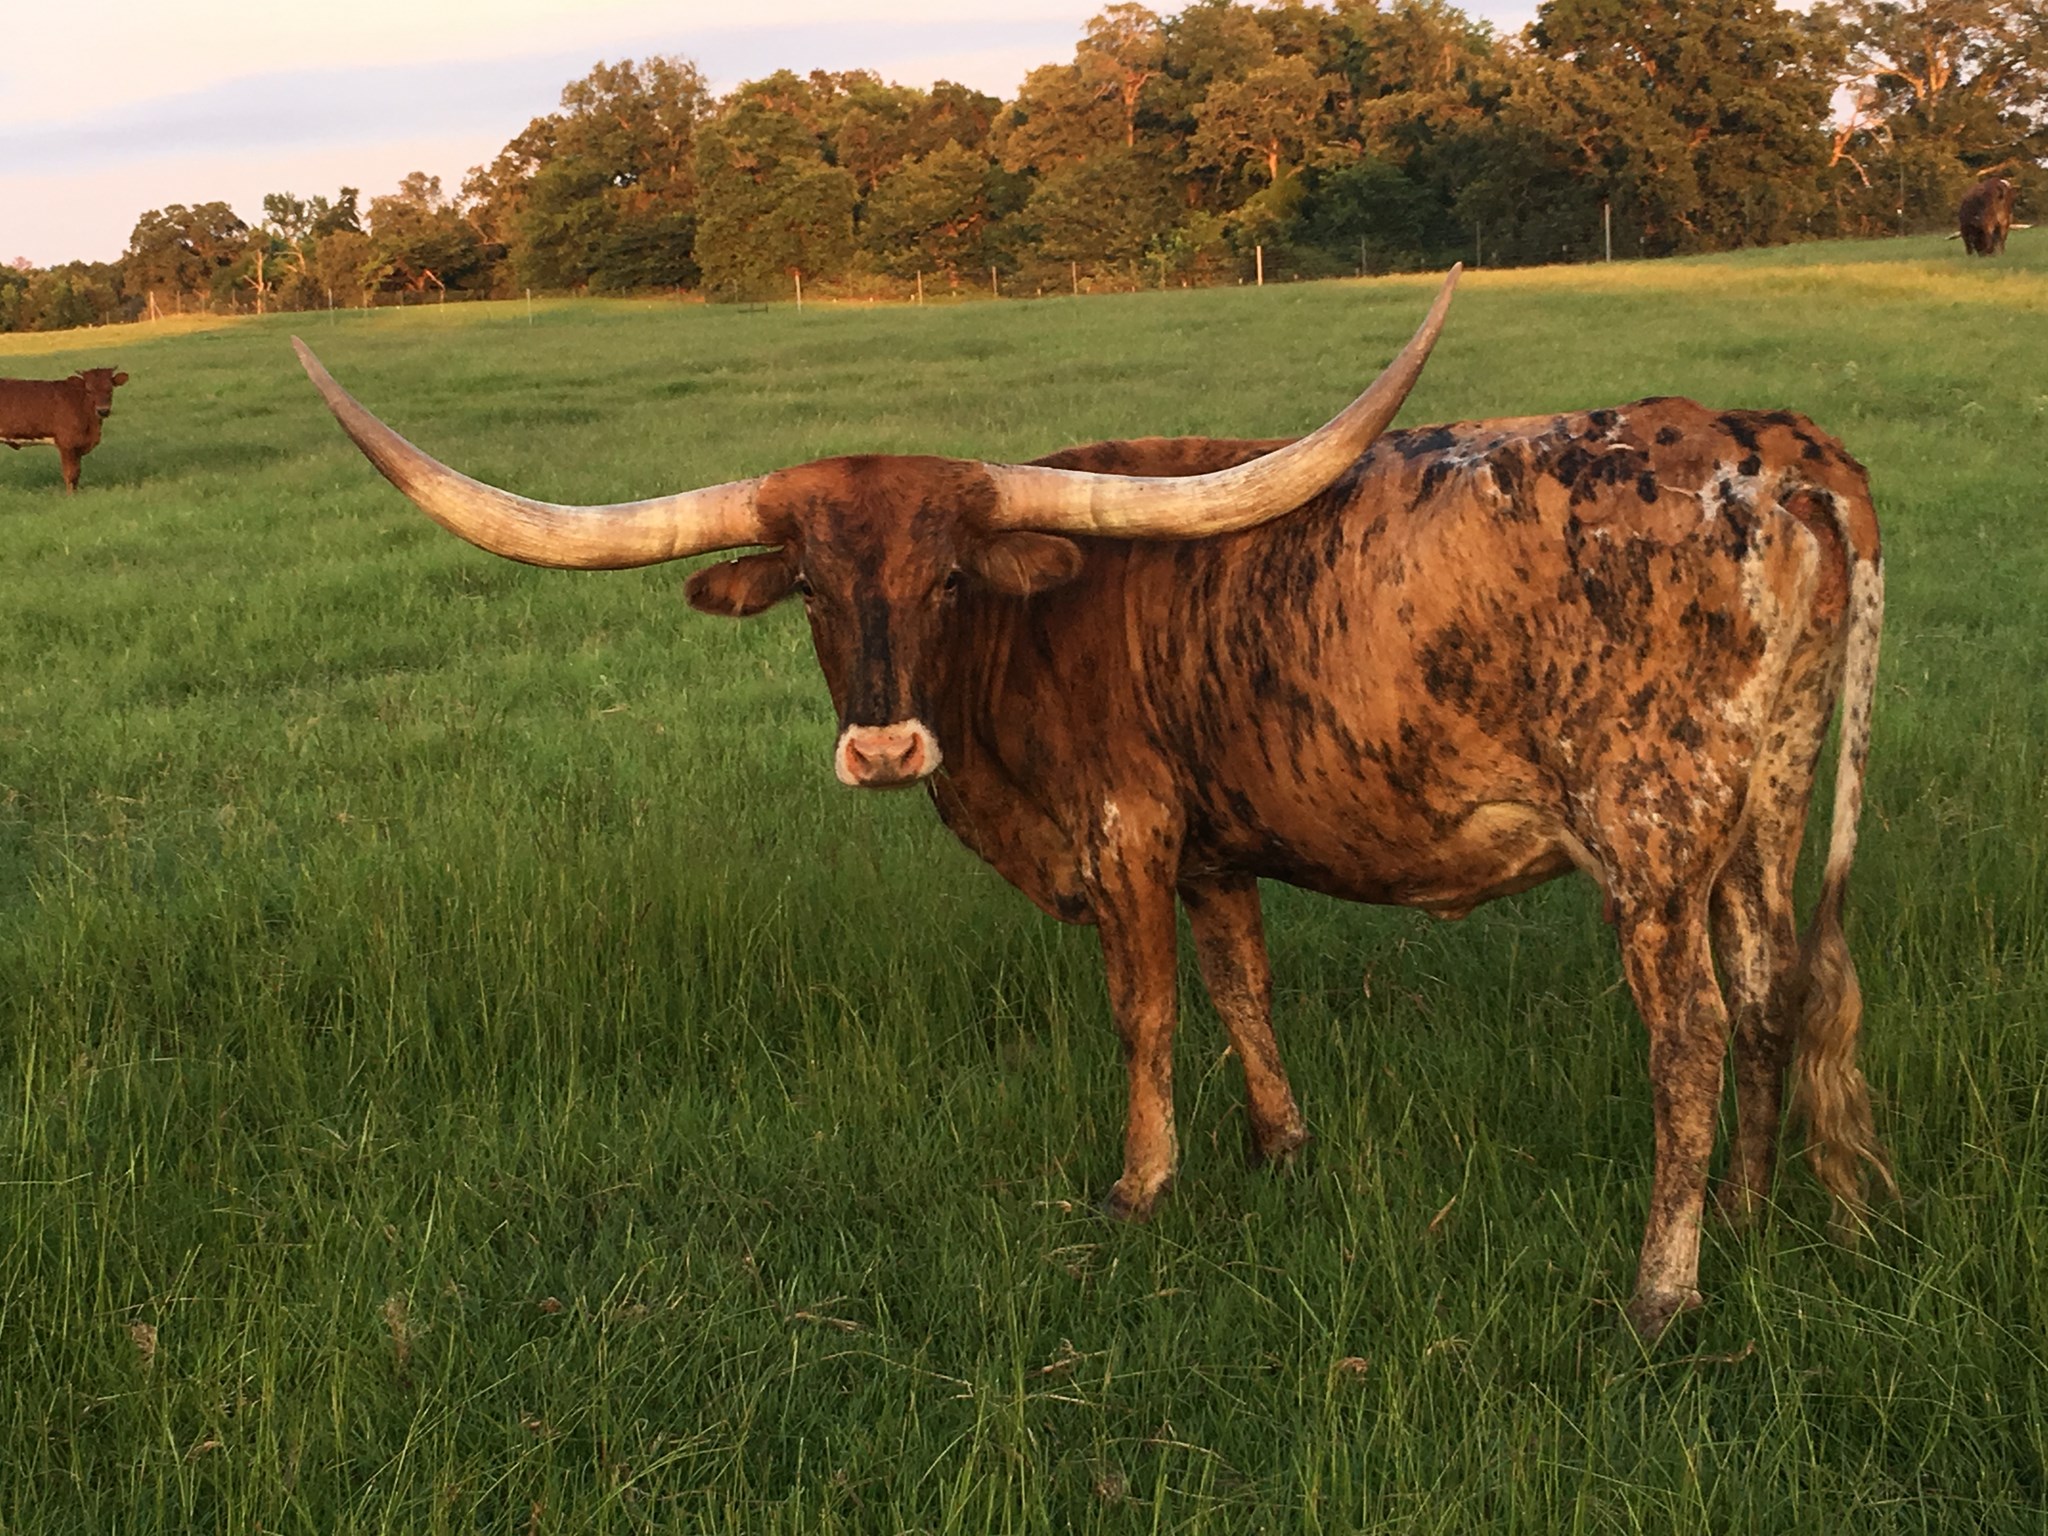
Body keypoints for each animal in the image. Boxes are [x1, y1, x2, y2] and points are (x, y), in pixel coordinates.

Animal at [0, 367, 129, 492]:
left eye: (110, 389)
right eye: (89, 390)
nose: (103, 411)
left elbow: (77, 473)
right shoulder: (67, 444)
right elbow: (70, 474)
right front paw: (70, 496)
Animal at [293, 268, 1891, 1340]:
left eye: (946, 576)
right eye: (810, 583)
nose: (885, 748)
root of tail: (1769, 445)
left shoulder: (1124, 831)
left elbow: (1147, 1009)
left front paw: (1141, 1187)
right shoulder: (1215, 845)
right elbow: (1243, 987)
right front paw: (1279, 1150)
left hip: (1650, 832)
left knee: (1688, 1036)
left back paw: (1663, 1290)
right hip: (1760, 806)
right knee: (1776, 990)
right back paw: (1750, 1216)